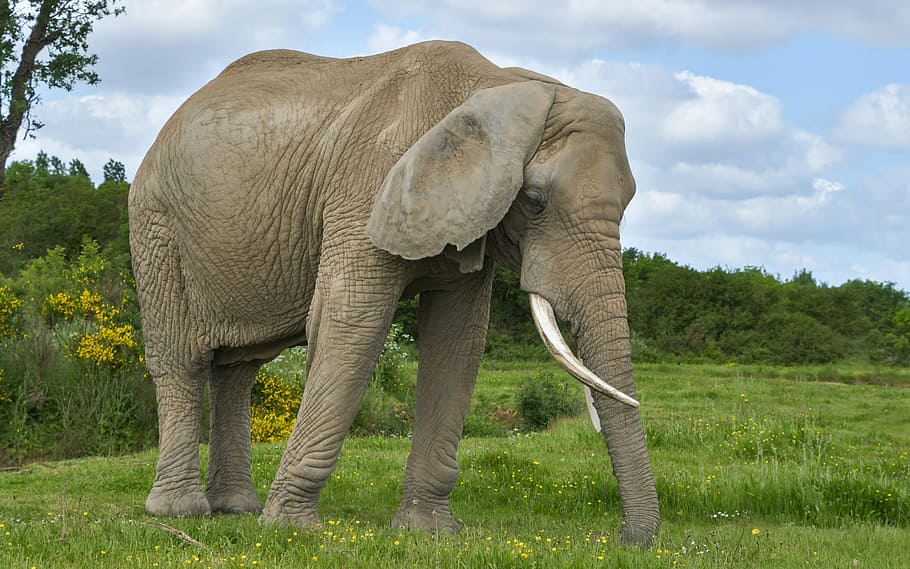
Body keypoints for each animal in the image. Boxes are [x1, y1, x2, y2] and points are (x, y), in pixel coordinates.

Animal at [129, 40, 660, 546]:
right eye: (534, 202)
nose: (626, 540)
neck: (499, 81)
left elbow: (458, 339)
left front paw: (428, 532)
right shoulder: (365, 184)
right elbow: (353, 323)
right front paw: (292, 530)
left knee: (240, 368)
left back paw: (236, 509)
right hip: (156, 222)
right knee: (181, 360)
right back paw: (181, 512)